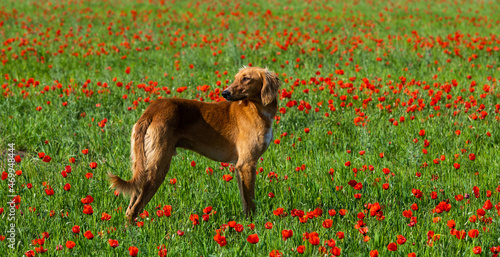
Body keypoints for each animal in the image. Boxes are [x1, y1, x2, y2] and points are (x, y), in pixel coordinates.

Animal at [109, 66, 280, 222]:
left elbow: (245, 202)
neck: (258, 108)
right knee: (133, 210)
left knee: (130, 207)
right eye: (237, 78)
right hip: (158, 167)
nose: (225, 93)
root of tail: (151, 111)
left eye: (246, 78)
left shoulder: (239, 166)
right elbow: (250, 202)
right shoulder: (247, 164)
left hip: (142, 165)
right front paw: (252, 226)